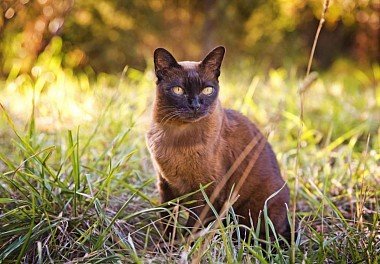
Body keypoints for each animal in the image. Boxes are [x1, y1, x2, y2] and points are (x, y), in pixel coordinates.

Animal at [145, 46, 290, 242]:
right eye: (178, 90)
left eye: (207, 90)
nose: (195, 106)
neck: (177, 138)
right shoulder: (165, 185)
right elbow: (166, 219)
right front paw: (166, 244)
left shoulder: (207, 192)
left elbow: (192, 229)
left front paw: (182, 246)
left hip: (257, 209)